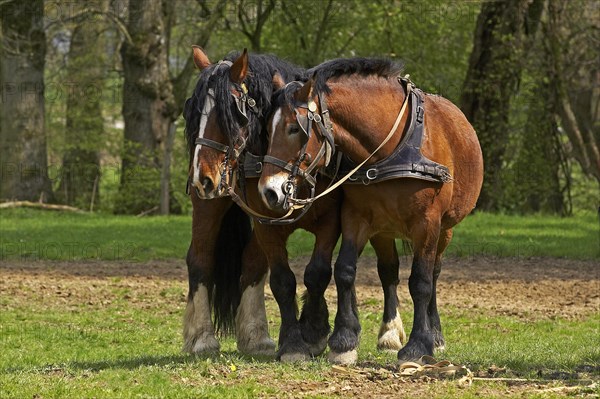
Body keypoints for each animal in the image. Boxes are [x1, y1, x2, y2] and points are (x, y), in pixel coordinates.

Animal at [183, 48, 408, 360]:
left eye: (230, 113)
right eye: (192, 113)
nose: (202, 177)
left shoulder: (330, 220)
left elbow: (317, 273)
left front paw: (313, 330)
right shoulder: (266, 222)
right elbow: (283, 279)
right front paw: (295, 342)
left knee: (386, 267)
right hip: (210, 205)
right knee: (201, 259)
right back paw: (203, 337)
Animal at [258, 57, 482, 364]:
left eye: (294, 128)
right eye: (267, 130)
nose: (269, 190)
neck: (393, 148)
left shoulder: (428, 223)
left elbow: (421, 281)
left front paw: (418, 345)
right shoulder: (356, 217)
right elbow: (344, 270)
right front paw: (343, 341)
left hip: (445, 230)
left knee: (434, 273)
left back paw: (435, 335)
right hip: (384, 230)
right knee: (388, 272)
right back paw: (389, 332)